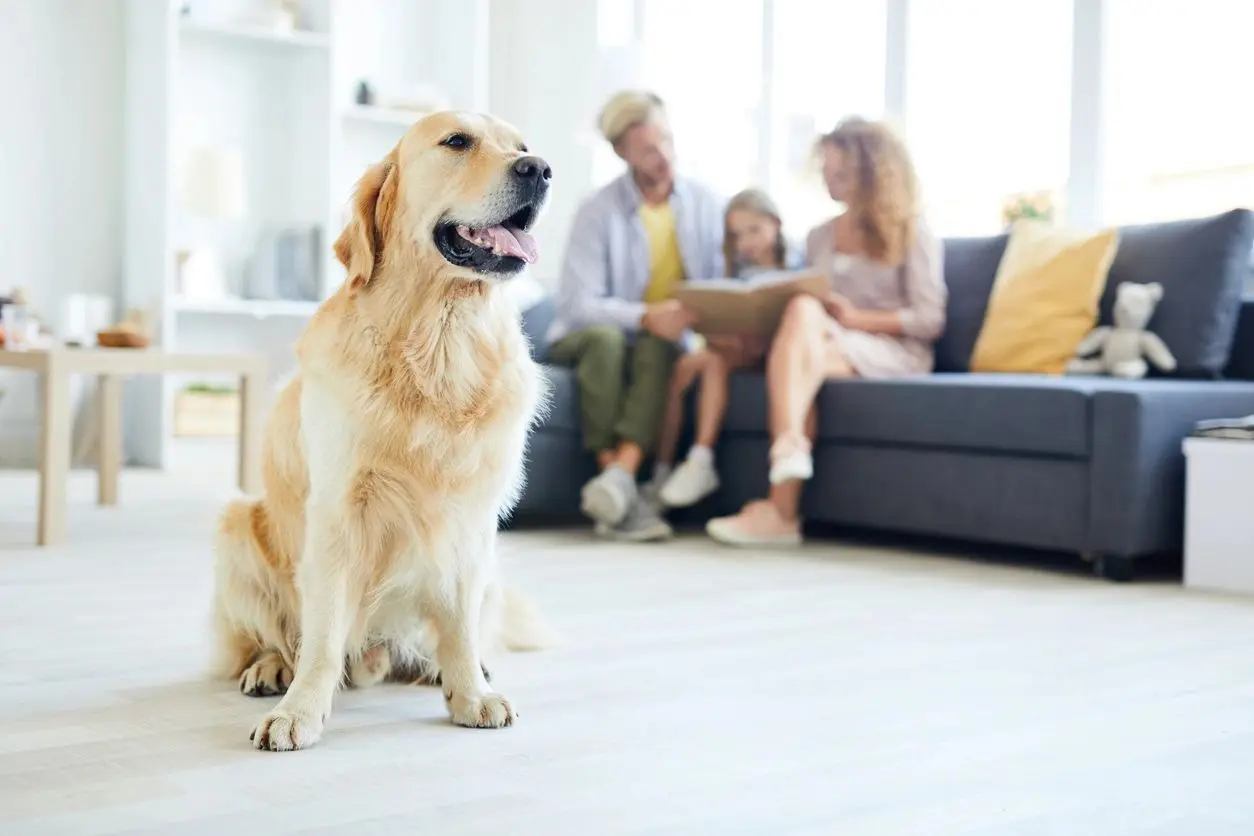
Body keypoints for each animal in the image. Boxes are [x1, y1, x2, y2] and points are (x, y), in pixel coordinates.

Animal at [213, 109, 556, 752]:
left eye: (522, 145)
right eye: (457, 141)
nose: (541, 169)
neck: (440, 338)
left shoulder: (470, 517)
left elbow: (460, 623)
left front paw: (470, 692)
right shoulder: (337, 511)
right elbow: (322, 635)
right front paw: (300, 711)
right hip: (238, 528)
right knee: (272, 635)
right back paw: (270, 668)